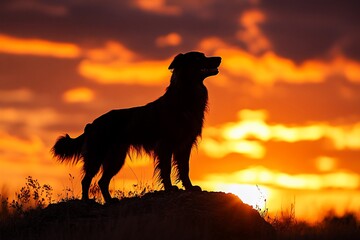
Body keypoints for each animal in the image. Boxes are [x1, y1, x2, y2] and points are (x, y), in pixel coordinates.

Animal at [52, 51, 221, 202]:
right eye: (198, 58)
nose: (219, 58)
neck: (185, 96)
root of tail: (91, 125)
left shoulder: (185, 144)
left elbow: (185, 168)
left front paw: (190, 187)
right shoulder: (165, 145)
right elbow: (166, 169)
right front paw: (170, 188)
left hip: (116, 158)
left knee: (102, 181)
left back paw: (110, 201)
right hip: (97, 156)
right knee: (86, 180)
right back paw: (87, 201)